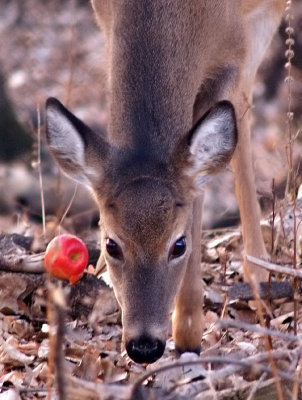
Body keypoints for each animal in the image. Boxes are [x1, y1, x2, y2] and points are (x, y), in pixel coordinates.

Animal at [45, 0, 286, 362]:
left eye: (179, 244)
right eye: (111, 243)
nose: (144, 345)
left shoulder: (234, 51)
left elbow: (199, 182)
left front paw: (188, 333)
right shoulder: (105, 18)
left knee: (243, 109)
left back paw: (259, 273)